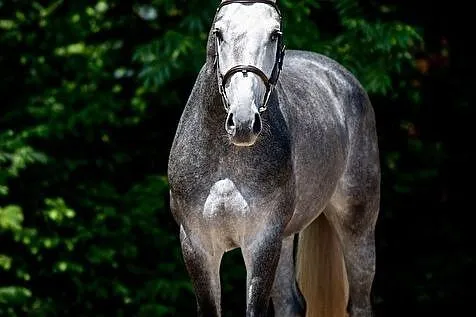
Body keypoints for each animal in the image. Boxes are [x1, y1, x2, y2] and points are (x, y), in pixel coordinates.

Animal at [167, 1, 380, 314]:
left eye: (274, 34)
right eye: (219, 32)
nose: (243, 121)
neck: (226, 163)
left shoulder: (262, 242)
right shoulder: (197, 245)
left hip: (357, 225)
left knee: (360, 303)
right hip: (286, 236)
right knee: (291, 304)